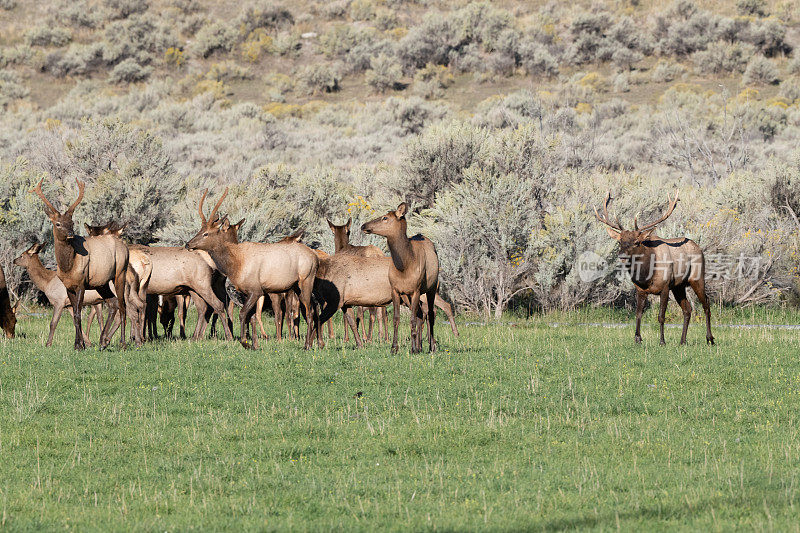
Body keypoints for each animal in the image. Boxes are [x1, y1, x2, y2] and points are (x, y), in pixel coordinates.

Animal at [592, 190, 716, 344]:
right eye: (620, 241)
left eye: (637, 242)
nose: (622, 256)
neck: (646, 276)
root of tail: (698, 247)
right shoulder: (640, 290)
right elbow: (638, 314)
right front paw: (638, 338)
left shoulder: (665, 287)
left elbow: (661, 316)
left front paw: (662, 341)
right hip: (679, 286)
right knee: (687, 309)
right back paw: (682, 341)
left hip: (697, 278)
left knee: (706, 304)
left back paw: (710, 338)